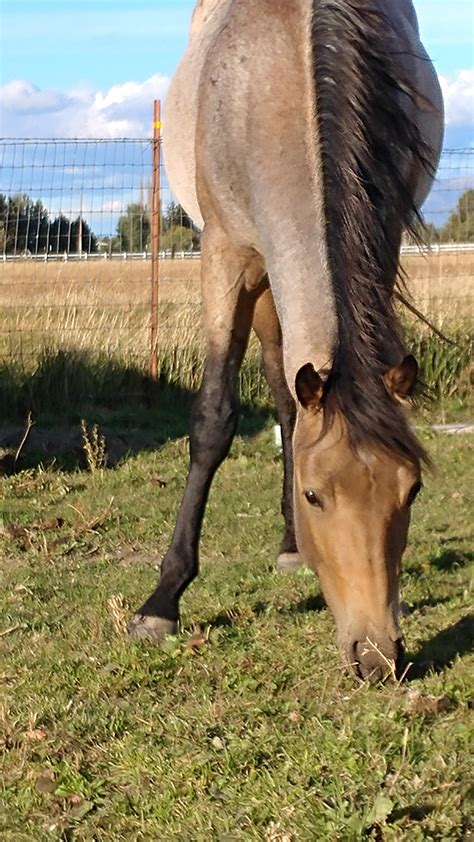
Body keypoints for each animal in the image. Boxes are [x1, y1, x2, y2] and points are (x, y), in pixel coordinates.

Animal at [129, 0, 444, 681]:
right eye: (313, 495)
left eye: (412, 490)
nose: (376, 655)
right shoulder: (225, 256)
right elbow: (214, 419)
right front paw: (162, 601)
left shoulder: (380, 241)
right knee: (280, 386)